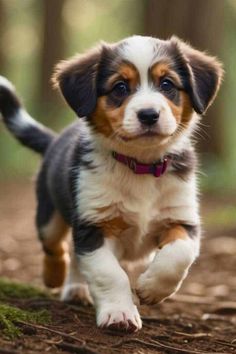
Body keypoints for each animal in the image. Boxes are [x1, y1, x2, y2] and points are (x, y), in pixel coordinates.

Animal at [0, 36, 223, 332]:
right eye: (120, 87)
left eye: (167, 84)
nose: (149, 114)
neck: (140, 165)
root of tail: (56, 139)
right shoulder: (95, 225)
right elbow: (109, 274)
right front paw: (120, 314)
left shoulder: (181, 218)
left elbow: (178, 256)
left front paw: (150, 288)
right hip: (49, 213)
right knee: (56, 246)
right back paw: (57, 278)